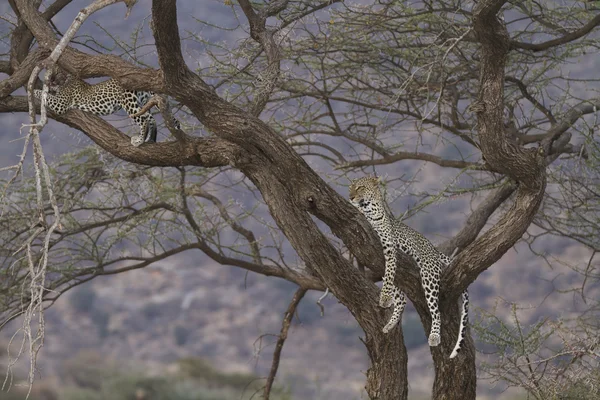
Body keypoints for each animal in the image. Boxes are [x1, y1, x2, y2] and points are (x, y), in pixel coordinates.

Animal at [33, 75, 180, 147]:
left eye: (54, 79)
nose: (50, 83)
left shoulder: (61, 104)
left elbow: (46, 95)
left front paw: (34, 90)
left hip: (128, 102)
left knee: (143, 120)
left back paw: (139, 141)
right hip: (141, 102)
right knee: (151, 118)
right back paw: (150, 139)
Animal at [350, 177, 472, 358]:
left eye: (360, 187)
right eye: (350, 188)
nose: (350, 197)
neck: (370, 209)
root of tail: (434, 250)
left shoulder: (389, 247)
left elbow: (389, 272)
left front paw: (384, 297)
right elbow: (389, 277)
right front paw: (386, 299)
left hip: (428, 277)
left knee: (436, 310)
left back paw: (434, 336)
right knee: (402, 299)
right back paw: (389, 324)